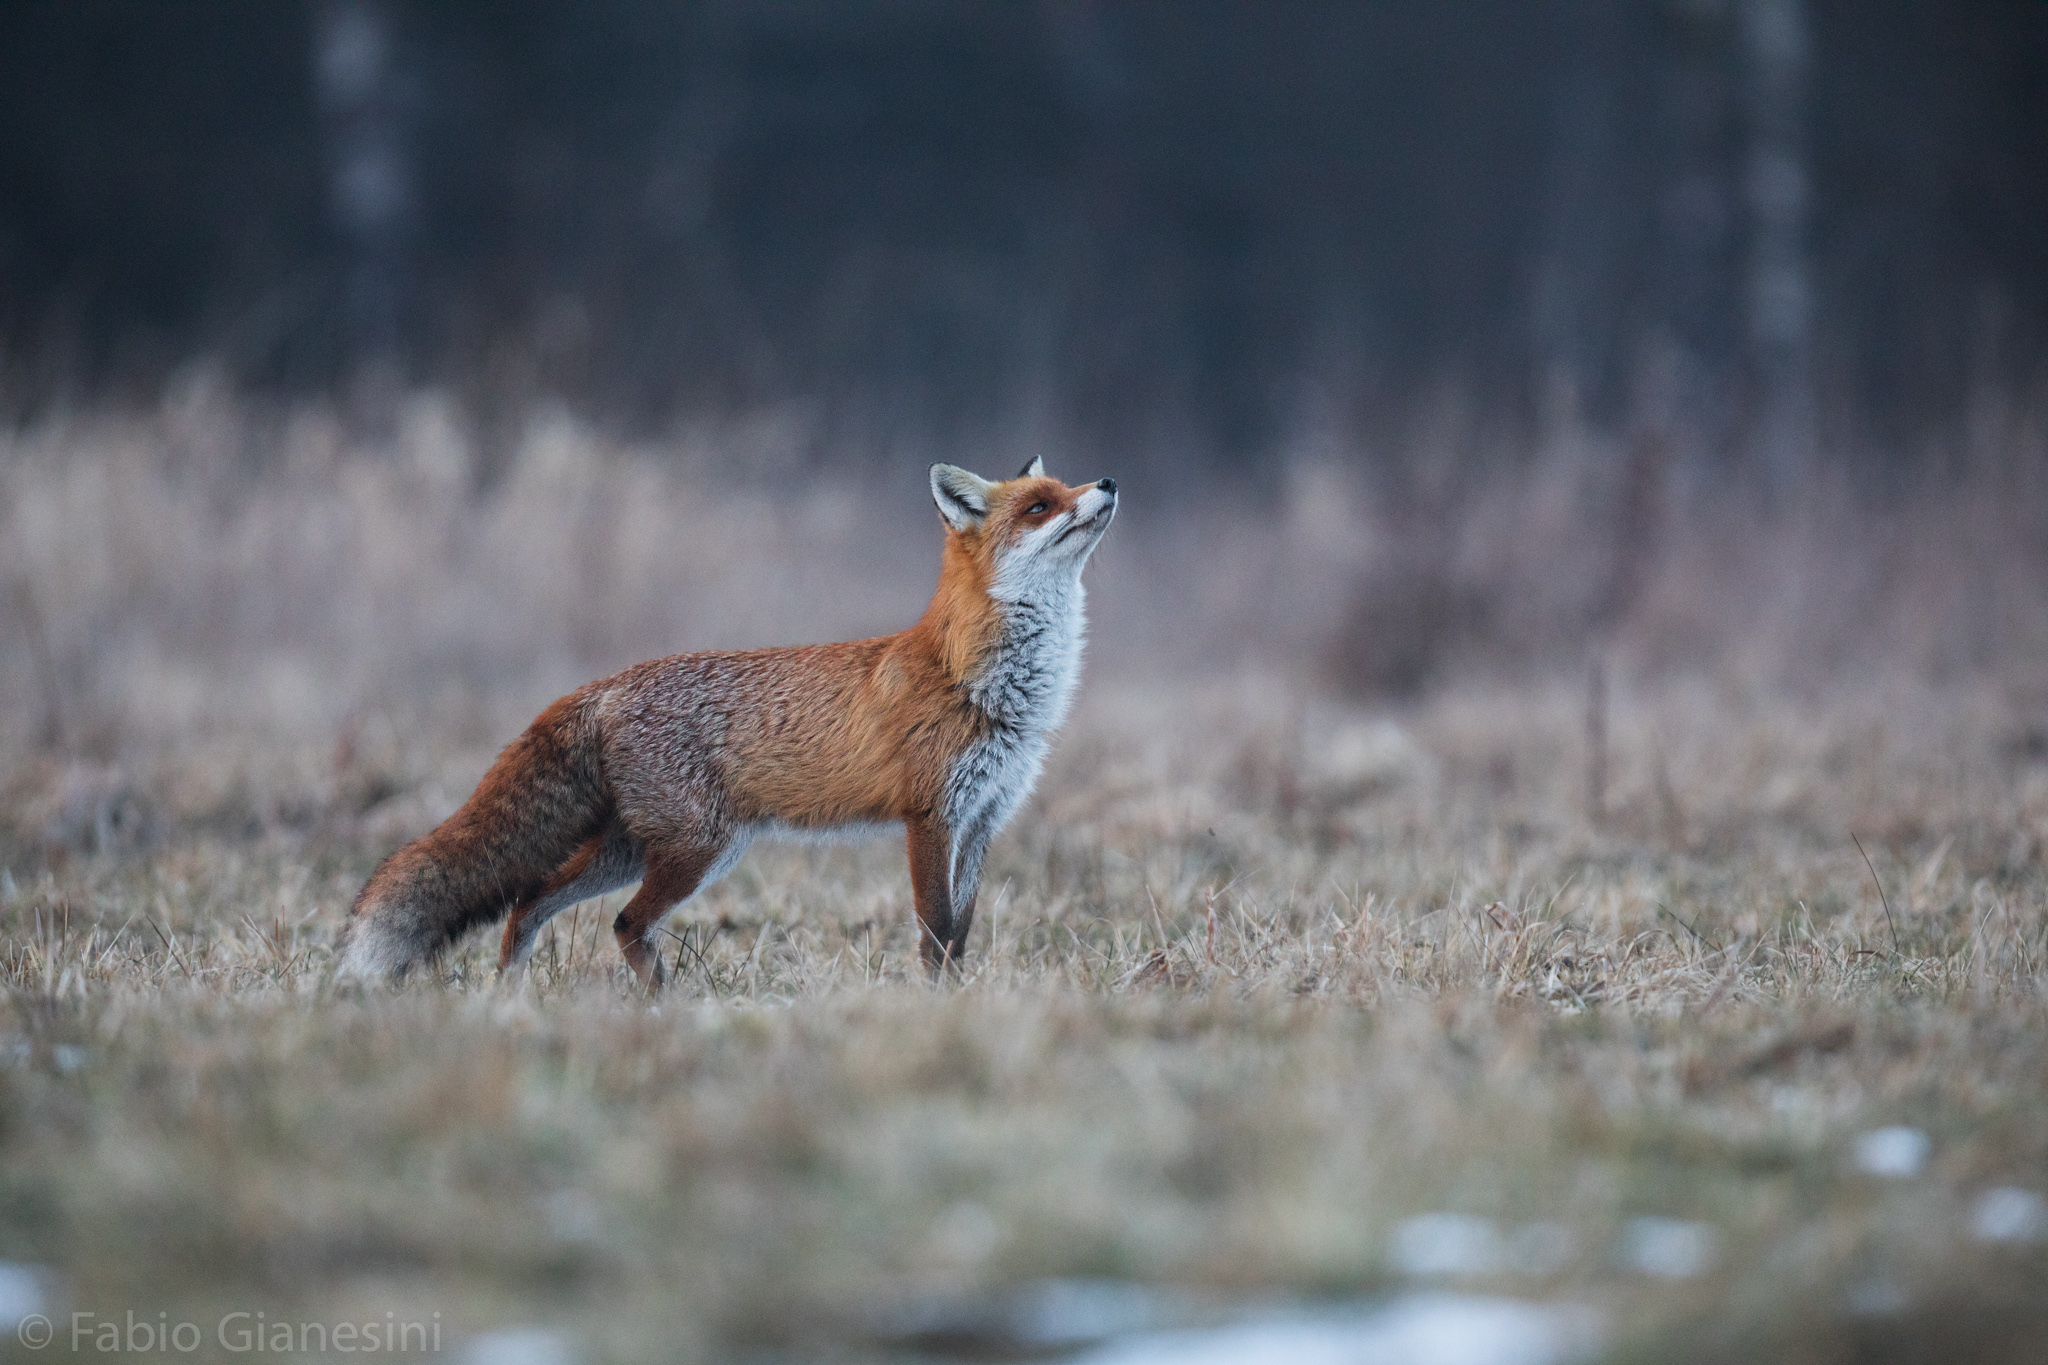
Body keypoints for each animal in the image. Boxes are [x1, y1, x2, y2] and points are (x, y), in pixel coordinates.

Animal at [337, 457, 1117, 989]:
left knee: (530, 903)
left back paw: (515, 996)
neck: (983, 683)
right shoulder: (930, 817)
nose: (1107, 483)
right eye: (1041, 505)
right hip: (696, 848)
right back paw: (663, 1005)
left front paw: (959, 998)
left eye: (1067, 488)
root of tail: (603, 687)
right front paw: (932, 1006)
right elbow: (934, 931)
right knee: (622, 921)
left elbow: (960, 933)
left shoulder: (983, 818)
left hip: (643, 849)